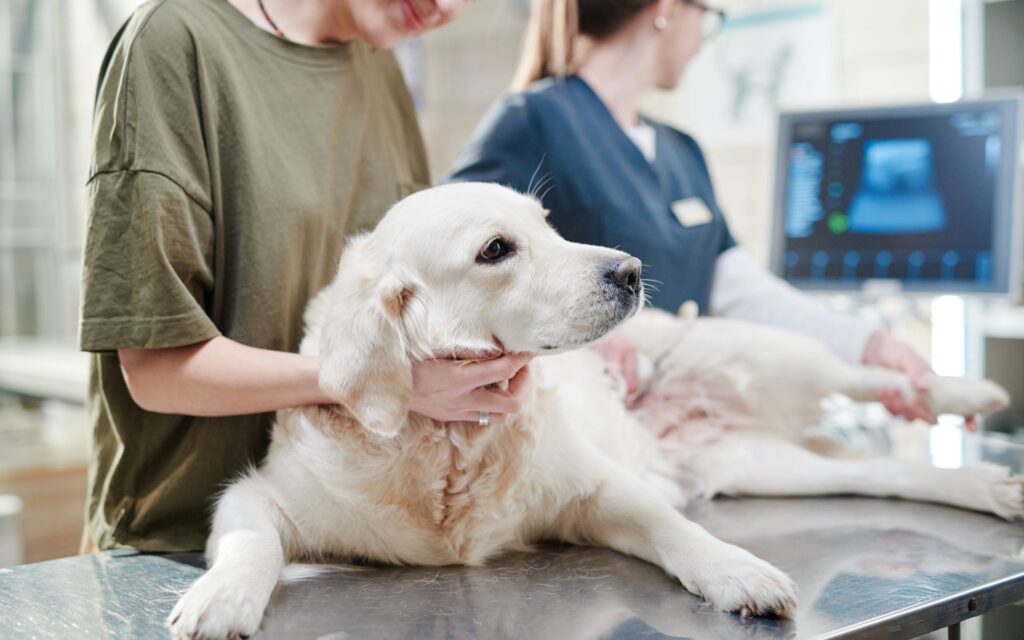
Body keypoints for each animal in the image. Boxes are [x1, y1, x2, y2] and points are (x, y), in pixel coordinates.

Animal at [167, 182, 1015, 634]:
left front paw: (736, 570)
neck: (452, 443)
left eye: (547, 224)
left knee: (860, 374)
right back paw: (988, 486)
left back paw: (963, 391)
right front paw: (220, 597)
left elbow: (677, 531)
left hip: (765, 354)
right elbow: (251, 542)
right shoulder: (261, 495)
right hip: (763, 464)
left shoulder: (597, 490)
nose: (632, 270)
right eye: (496, 249)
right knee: (882, 472)